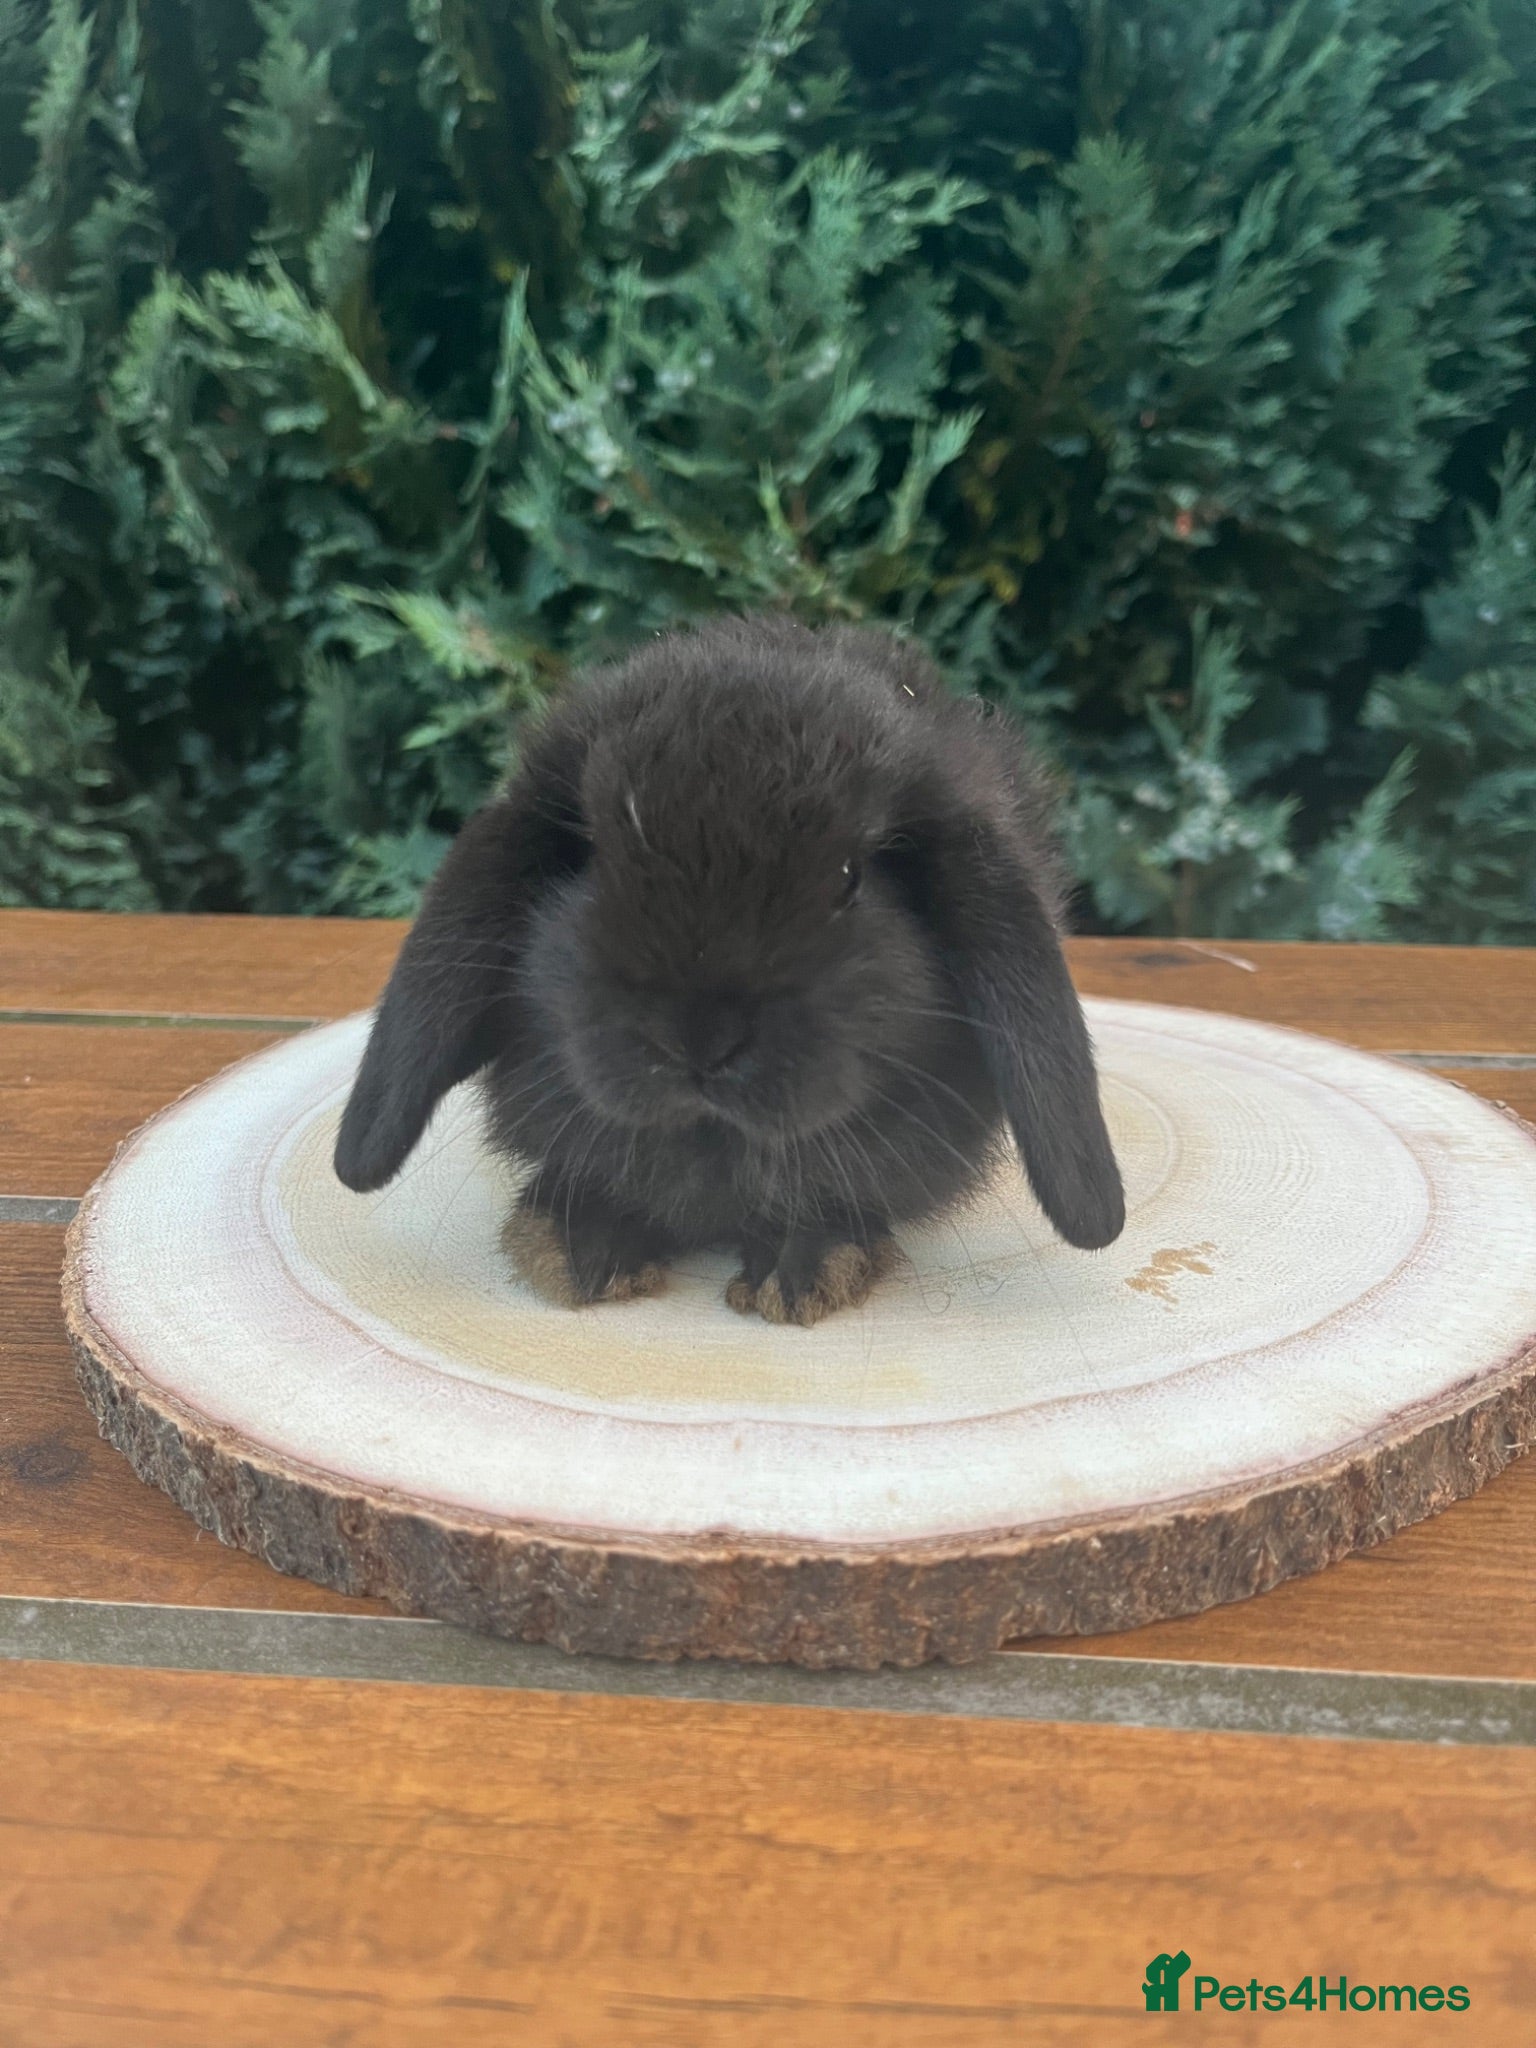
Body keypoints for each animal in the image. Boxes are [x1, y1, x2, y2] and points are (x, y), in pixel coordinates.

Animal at [333, 612, 1125, 1326]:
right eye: (594, 856)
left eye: (848, 877)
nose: (696, 1038)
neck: (715, 1144)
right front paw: (581, 1250)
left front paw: (802, 1270)